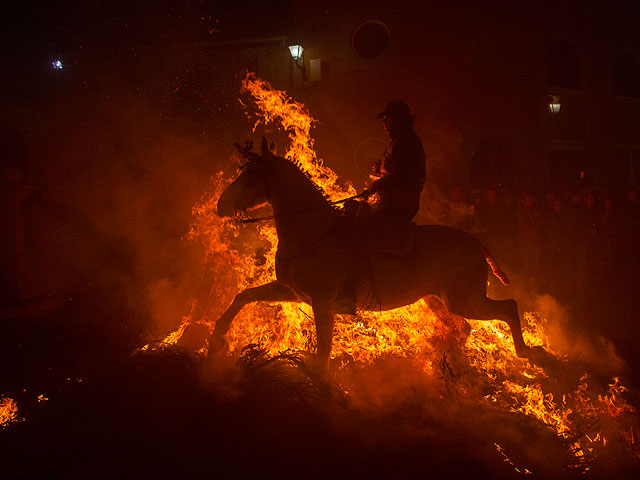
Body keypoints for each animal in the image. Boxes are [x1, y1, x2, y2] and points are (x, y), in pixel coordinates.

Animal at [209, 138, 540, 372]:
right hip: (440, 299)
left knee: (508, 308)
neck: (313, 230)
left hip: (465, 300)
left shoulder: (322, 305)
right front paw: (217, 338)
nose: (221, 205)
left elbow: (323, 353)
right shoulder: (290, 291)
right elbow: (243, 296)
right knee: (465, 327)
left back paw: (524, 351)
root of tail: (475, 242)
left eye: (251, 173)